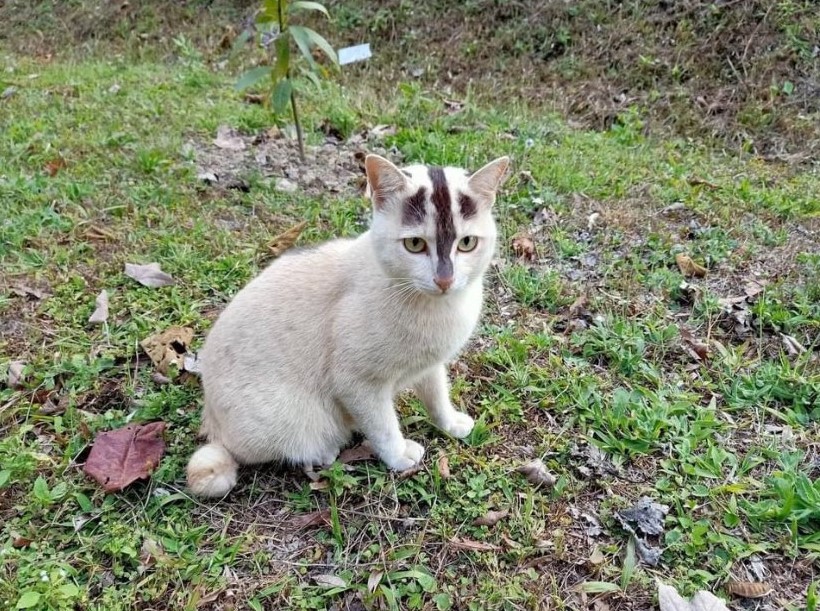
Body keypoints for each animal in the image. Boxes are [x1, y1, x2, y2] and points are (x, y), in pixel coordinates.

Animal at [186, 153, 506, 498]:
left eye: (467, 243)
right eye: (415, 244)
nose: (444, 280)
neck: (437, 307)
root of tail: (212, 424)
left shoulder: (430, 365)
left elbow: (436, 395)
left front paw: (449, 422)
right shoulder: (357, 384)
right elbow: (382, 426)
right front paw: (398, 455)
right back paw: (324, 450)